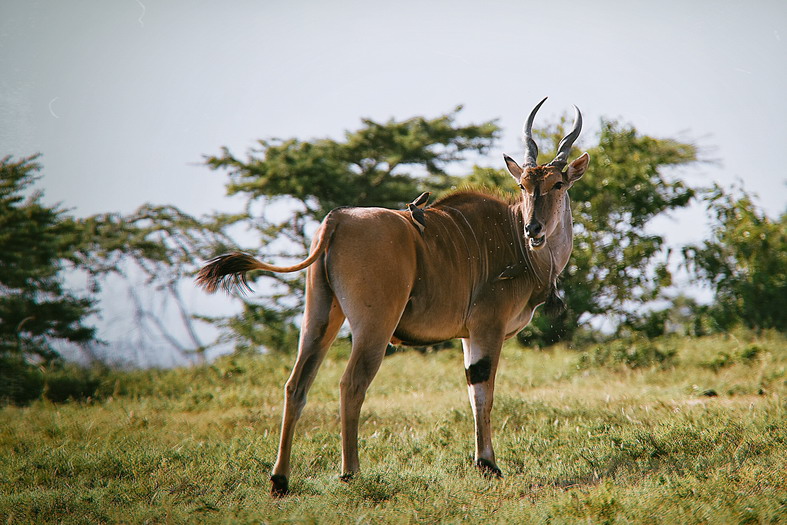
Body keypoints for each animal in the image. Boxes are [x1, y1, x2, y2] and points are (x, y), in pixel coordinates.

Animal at [197, 97, 592, 496]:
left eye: (558, 183)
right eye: (524, 185)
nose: (533, 228)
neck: (515, 240)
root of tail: (335, 221)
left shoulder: (470, 335)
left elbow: (472, 388)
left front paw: (482, 463)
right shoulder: (487, 328)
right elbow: (483, 389)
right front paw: (488, 464)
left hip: (319, 318)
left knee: (297, 385)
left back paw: (279, 480)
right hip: (375, 325)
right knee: (351, 383)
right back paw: (350, 472)